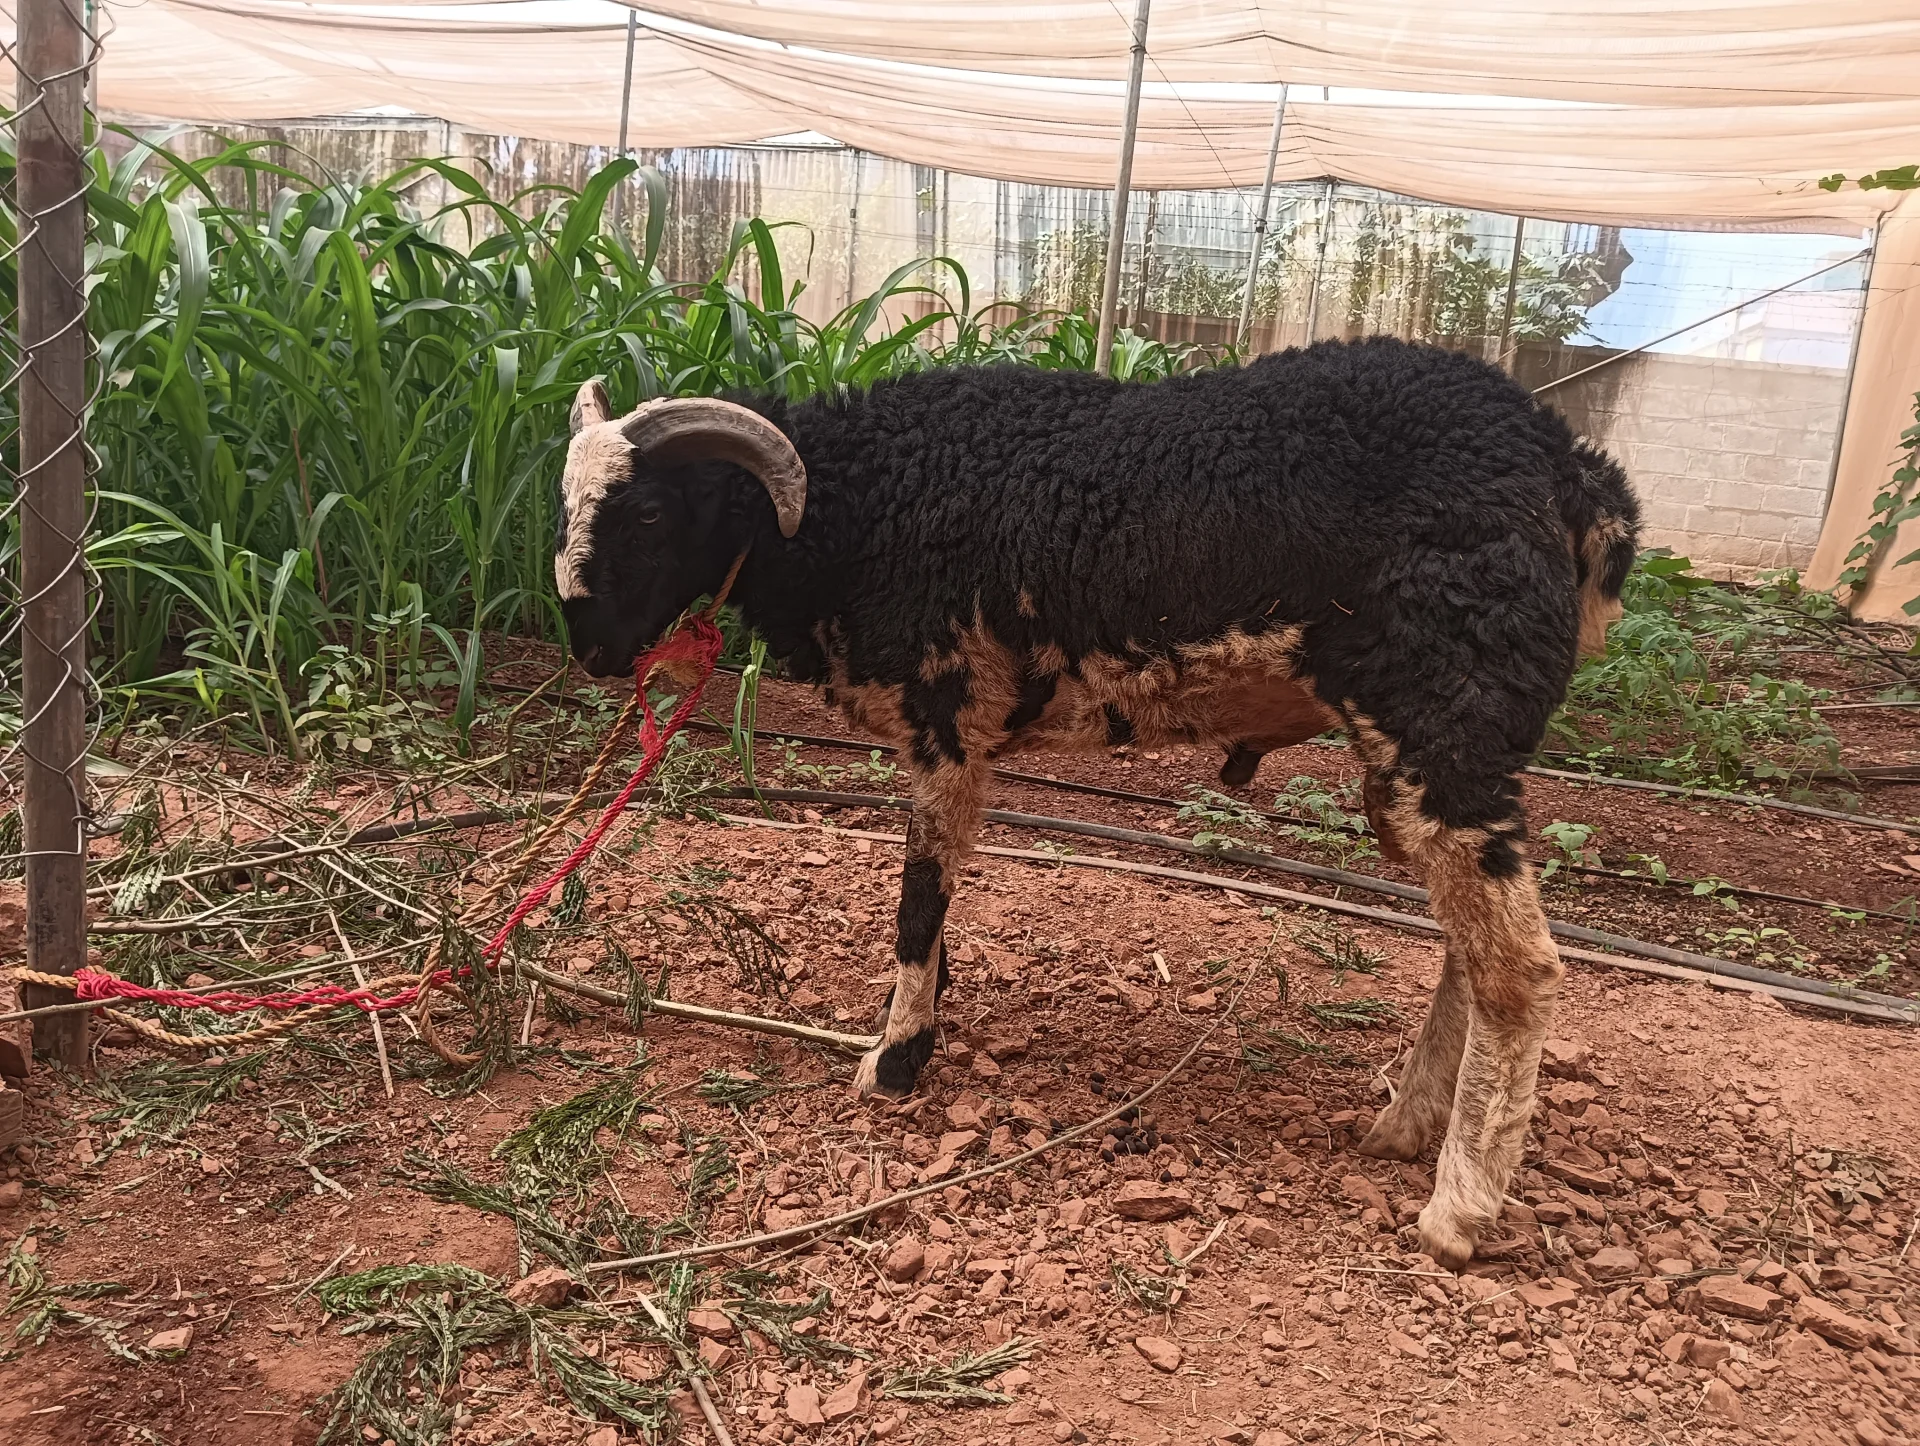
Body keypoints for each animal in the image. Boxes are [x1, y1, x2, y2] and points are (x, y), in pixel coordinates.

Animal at [554, 337, 1639, 1268]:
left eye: (648, 516)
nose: (590, 647)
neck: (859, 504)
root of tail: (1571, 473)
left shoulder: (949, 714)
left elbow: (917, 904)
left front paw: (895, 1060)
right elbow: (937, 908)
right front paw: (920, 1021)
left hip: (1446, 712)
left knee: (1520, 968)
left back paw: (1458, 1209)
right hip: (1421, 751)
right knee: (1469, 945)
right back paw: (1406, 1129)